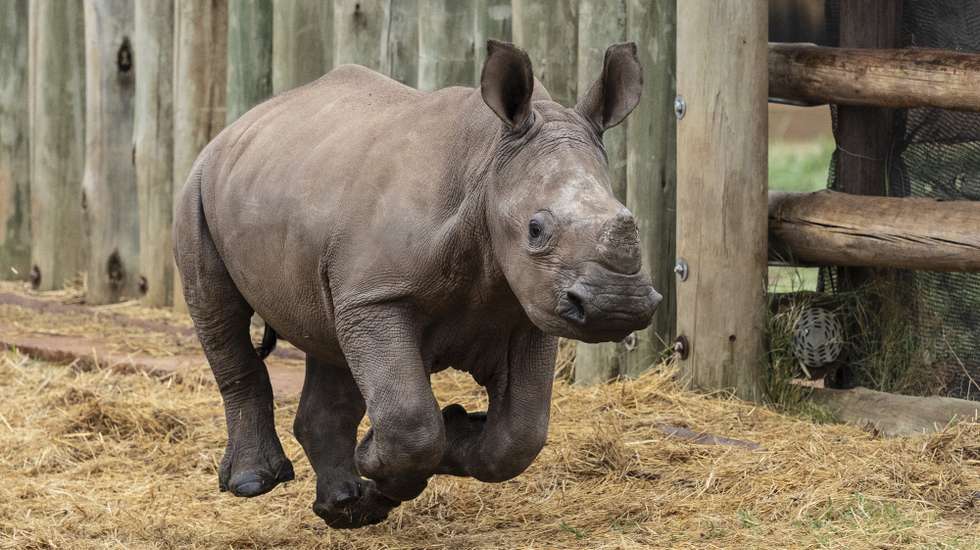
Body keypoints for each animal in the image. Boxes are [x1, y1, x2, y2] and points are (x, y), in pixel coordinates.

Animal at [174, 40, 661, 528]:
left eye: (631, 218)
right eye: (535, 229)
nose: (617, 305)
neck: (488, 165)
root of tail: (237, 125)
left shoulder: (527, 309)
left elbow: (520, 434)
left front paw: (444, 440)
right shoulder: (377, 298)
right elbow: (411, 422)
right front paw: (381, 455)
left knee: (328, 339)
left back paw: (345, 508)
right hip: (198, 187)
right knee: (220, 314)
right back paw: (253, 483)